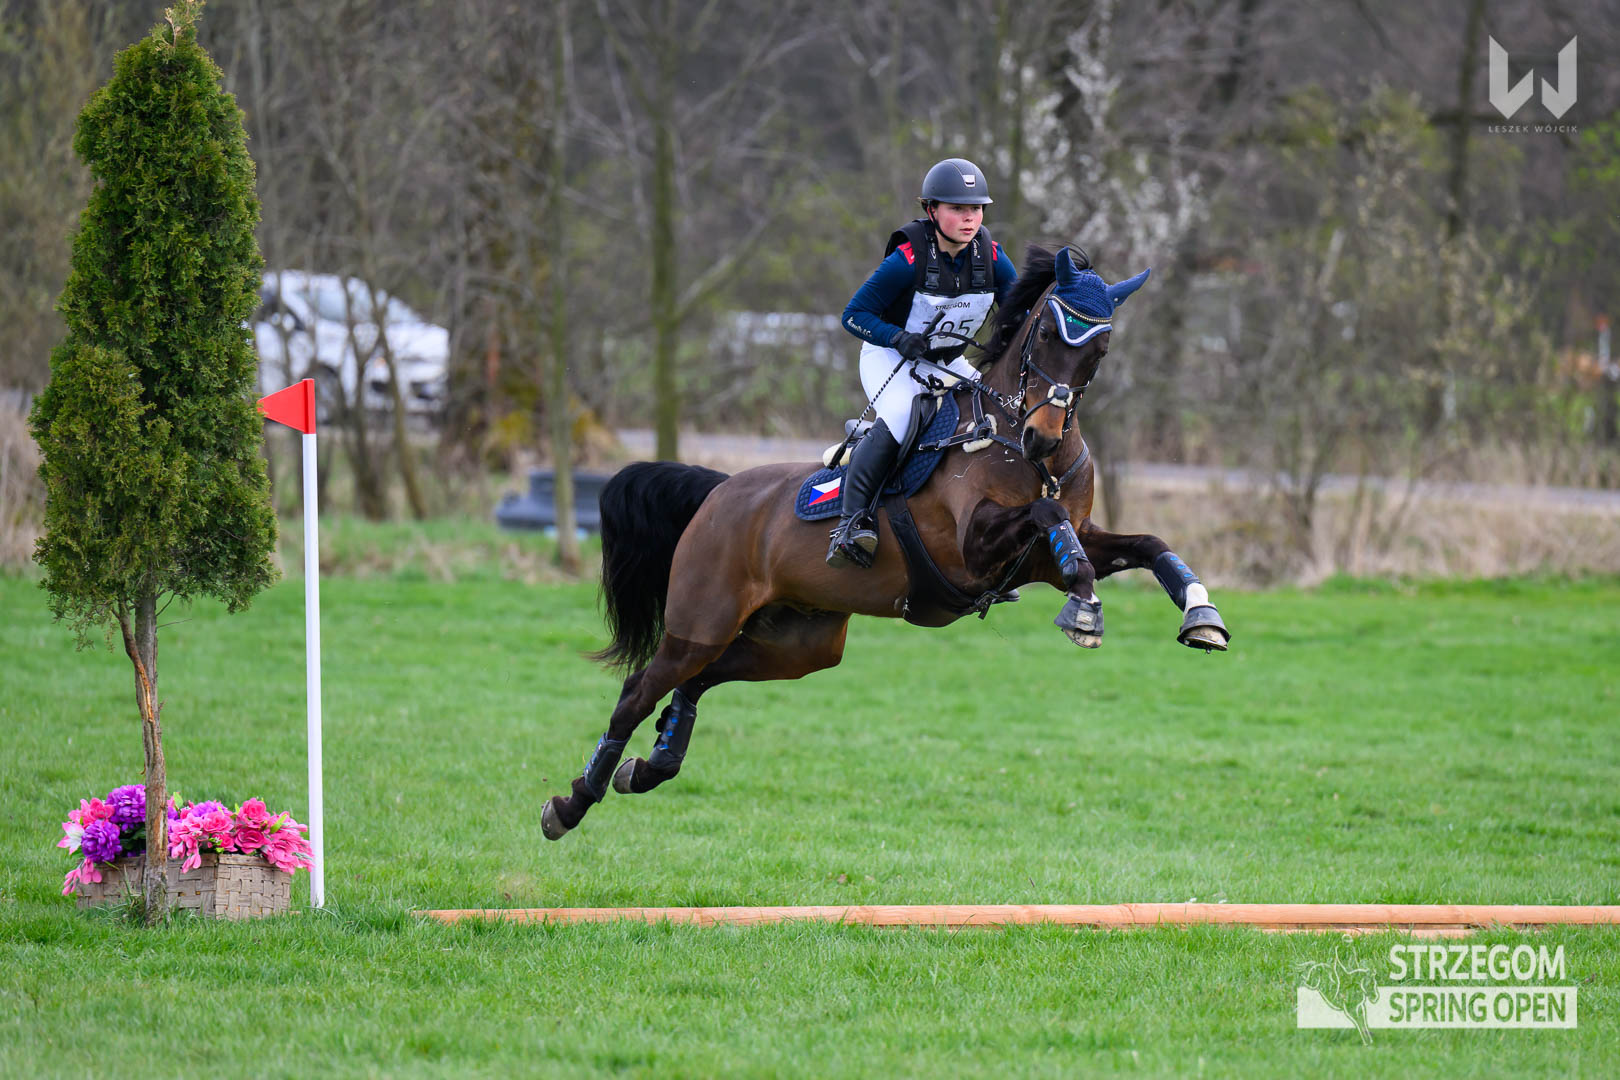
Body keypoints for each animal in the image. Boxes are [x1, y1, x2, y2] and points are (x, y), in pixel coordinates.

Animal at [541, 245, 1230, 840]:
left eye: (1100, 348)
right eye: (1046, 336)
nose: (1041, 435)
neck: (1018, 444)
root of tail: (720, 491)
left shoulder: (1042, 558)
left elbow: (1142, 543)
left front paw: (1200, 615)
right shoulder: (975, 550)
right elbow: (1049, 509)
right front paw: (1085, 613)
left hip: (802, 643)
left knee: (701, 679)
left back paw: (652, 765)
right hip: (701, 620)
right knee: (638, 691)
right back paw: (572, 803)